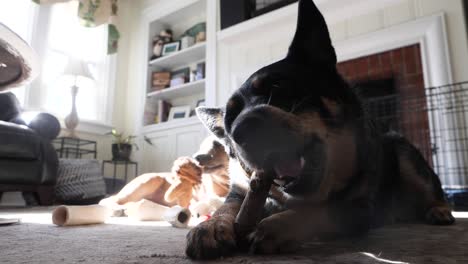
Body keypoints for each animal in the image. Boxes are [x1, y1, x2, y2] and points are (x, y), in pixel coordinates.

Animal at [186, 0, 454, 260]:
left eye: (278, 87)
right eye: (229, 123)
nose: (242, 129)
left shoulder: (359, 210)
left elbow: (318, 212)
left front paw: (276, 226)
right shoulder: (241, 191)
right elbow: (226, 206)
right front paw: (210, 226)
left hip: (405, 153)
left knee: (433, 190)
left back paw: (440, 211)